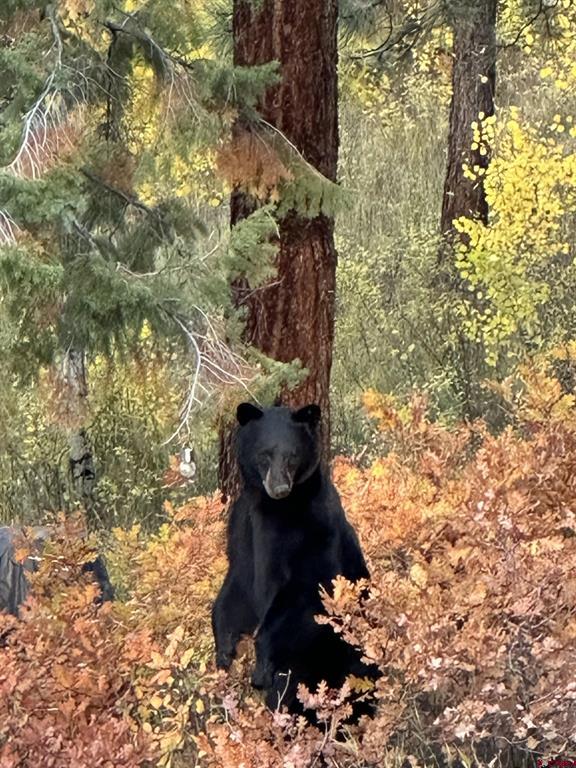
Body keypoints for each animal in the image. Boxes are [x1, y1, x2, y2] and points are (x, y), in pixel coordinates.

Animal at [212, 402, 376, 719]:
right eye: (265, 454)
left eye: (292, 455)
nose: (280, 488)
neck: (273, 508)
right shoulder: (242, 530)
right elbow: (237, 588)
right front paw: (224, 651)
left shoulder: (314, 528)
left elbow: (304, 589)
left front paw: (260, 666)